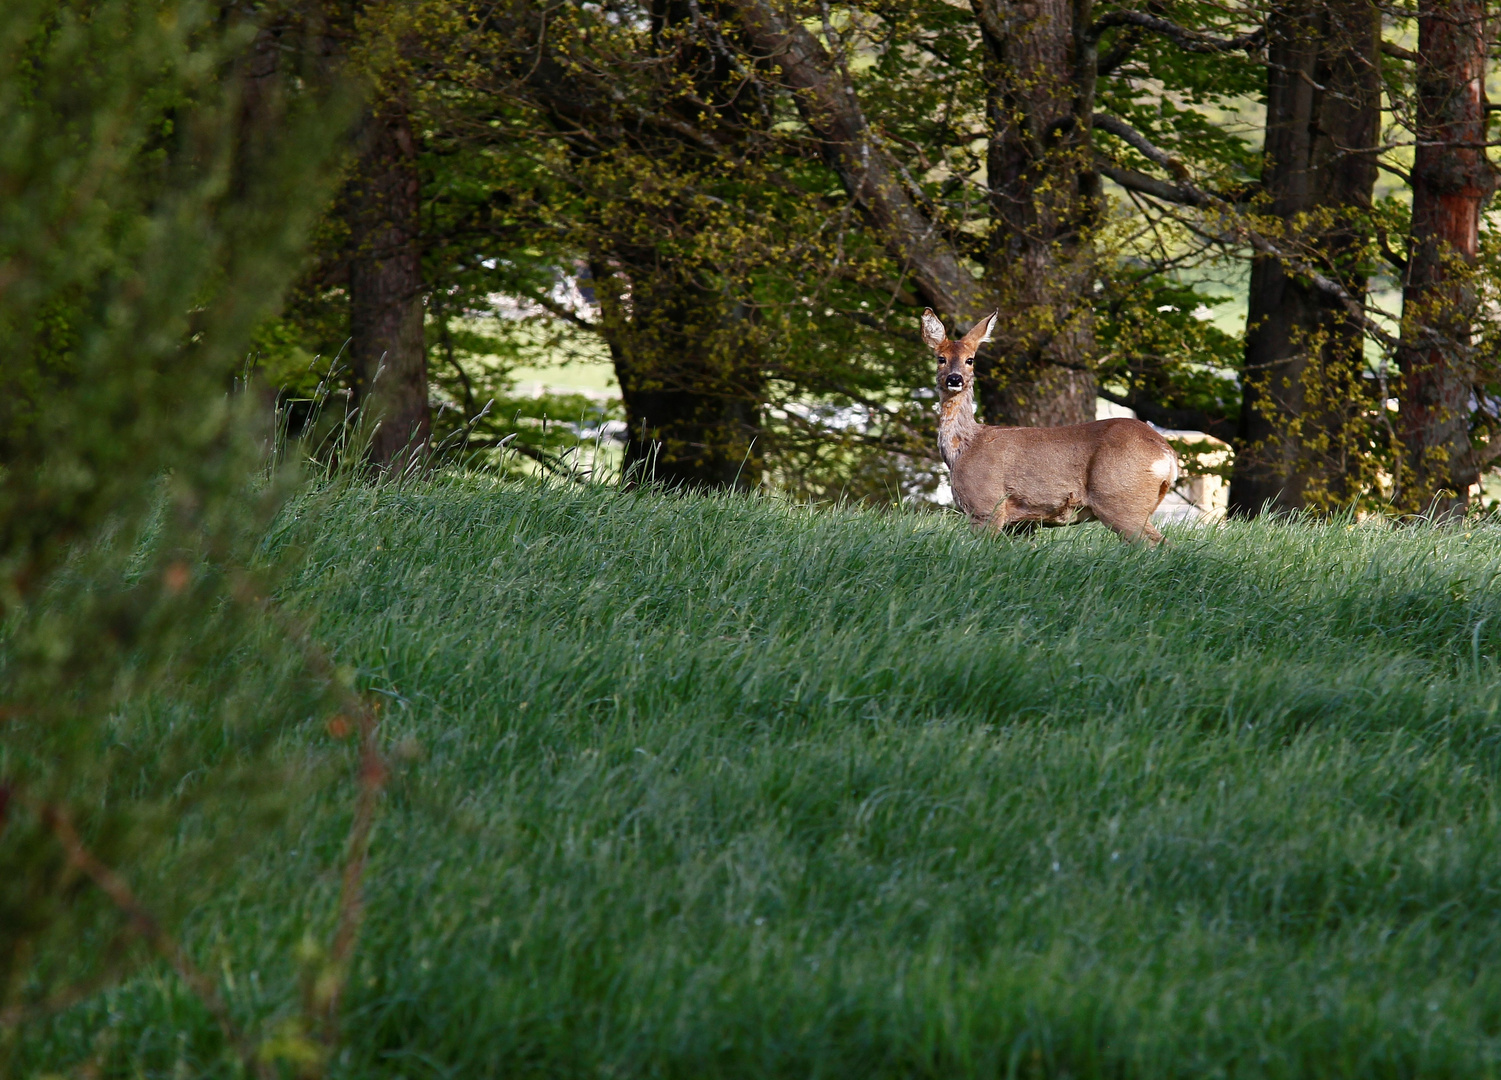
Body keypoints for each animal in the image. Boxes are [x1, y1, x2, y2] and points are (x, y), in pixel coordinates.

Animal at [918, 307, 1176, 543]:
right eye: (940, 358)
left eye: (970, 360)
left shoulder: (985, 504)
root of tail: (1167, 454)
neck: (964, 448)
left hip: (1120, 500)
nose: (955, 379)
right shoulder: (1021, 523)